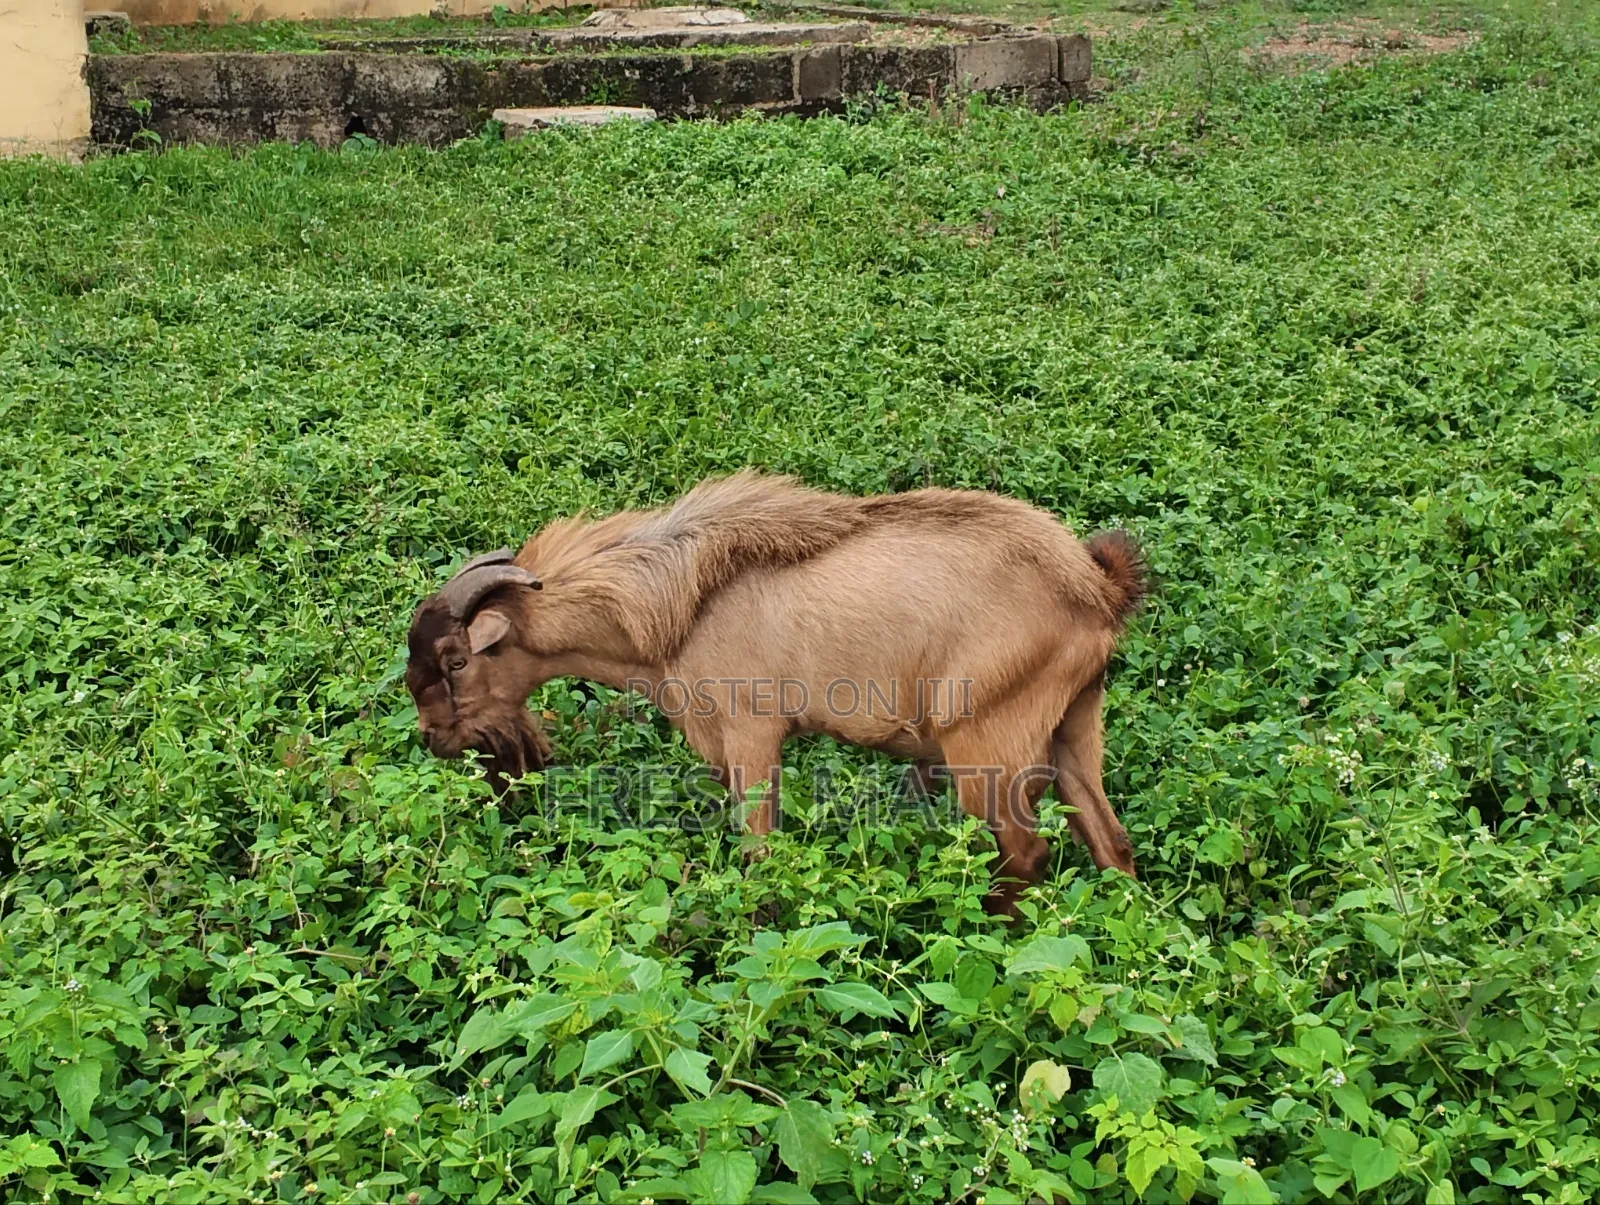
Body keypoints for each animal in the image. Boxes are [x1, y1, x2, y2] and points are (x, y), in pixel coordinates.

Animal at [405, 471, 1145, 915]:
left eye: (455, 659)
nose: (434, 738)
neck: (681, 601)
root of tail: (1093, 587)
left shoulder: (751, 731)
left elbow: (759, 847)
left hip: (987, 744)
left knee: (1024, 851)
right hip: (1075, 724)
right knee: (1111, 839)